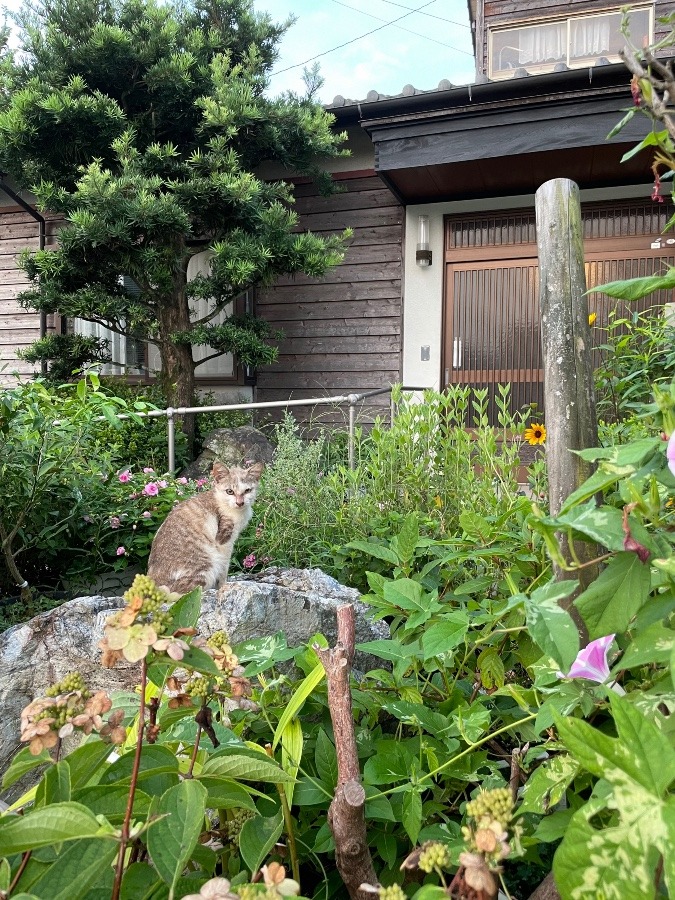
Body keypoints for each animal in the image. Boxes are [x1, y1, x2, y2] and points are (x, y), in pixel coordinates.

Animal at [148, 460, 264, 596]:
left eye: (247, 491)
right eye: (229, 491)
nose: (240, 503)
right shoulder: (224, 540)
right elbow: (224, 567)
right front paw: (223, 587)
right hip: (207, 566)